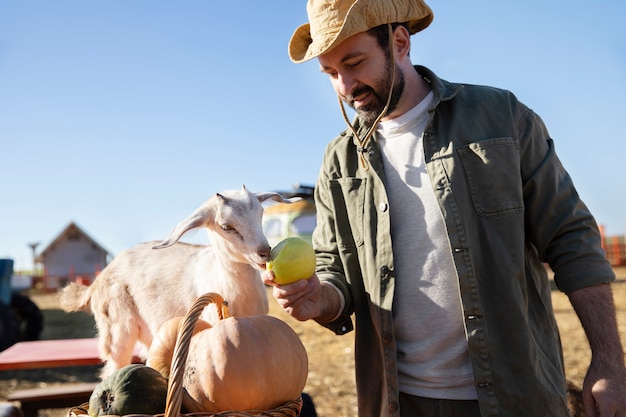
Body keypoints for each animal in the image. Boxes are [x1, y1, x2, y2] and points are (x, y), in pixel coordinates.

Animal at [59, 185, 294, 376]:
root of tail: (97, 281)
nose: (264, 251)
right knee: (112, 368)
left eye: (261, 213)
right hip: (117, 330)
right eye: (226, 226)